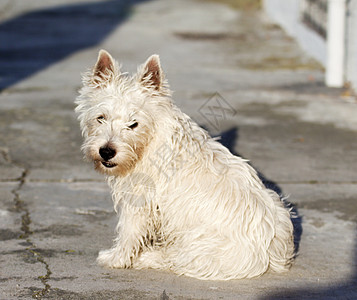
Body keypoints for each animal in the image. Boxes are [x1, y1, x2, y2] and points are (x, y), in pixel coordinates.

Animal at [74, 50, 292, 280]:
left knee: (177, 259)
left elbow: (129, 232)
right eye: (101, 118)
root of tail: (269, 254)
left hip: (197, 241)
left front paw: (116, 259)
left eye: (133, 124)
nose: (106, 151)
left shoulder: (140, 199)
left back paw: (148, 257)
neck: (150, 140)